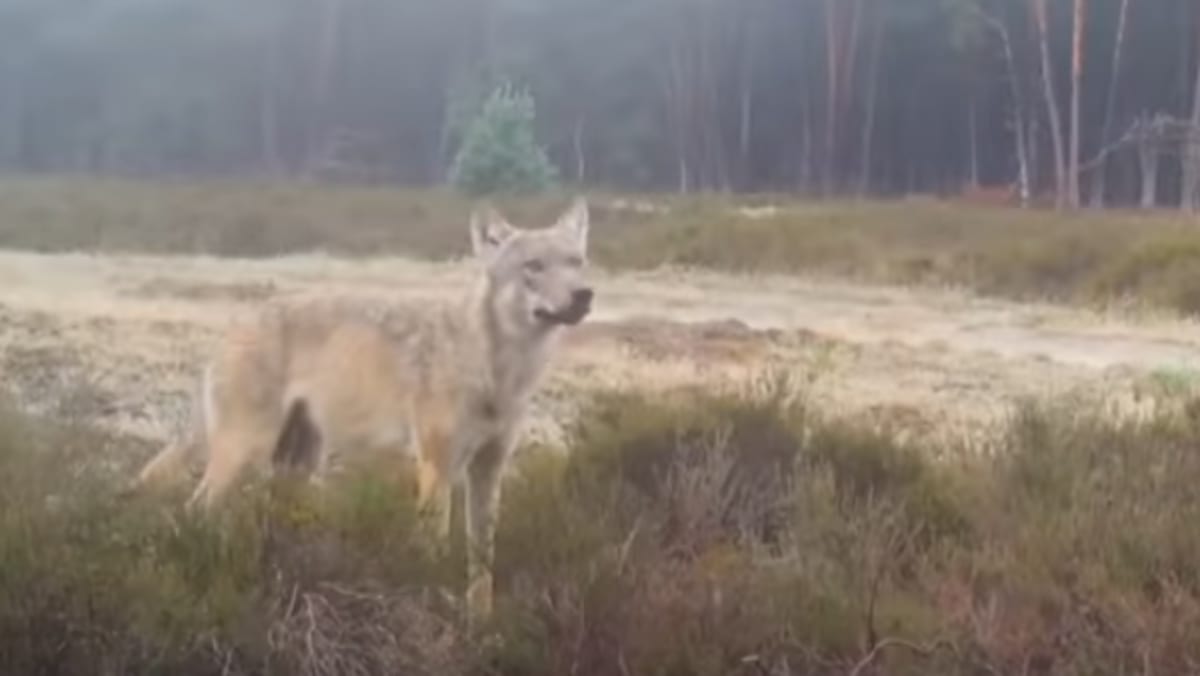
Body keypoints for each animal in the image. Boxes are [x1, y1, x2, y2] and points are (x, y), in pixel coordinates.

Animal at [128, 197, 594, 625]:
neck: (501, 370)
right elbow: (434, 551)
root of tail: (232, 327)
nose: (584, 295)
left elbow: (482, 565)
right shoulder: (437, 469)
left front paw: (481, 626)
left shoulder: (488, 471)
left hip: (298, 467)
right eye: (534, 266)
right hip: (244, 457)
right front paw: (433, 612)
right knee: (195, 510)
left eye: (576, 262)